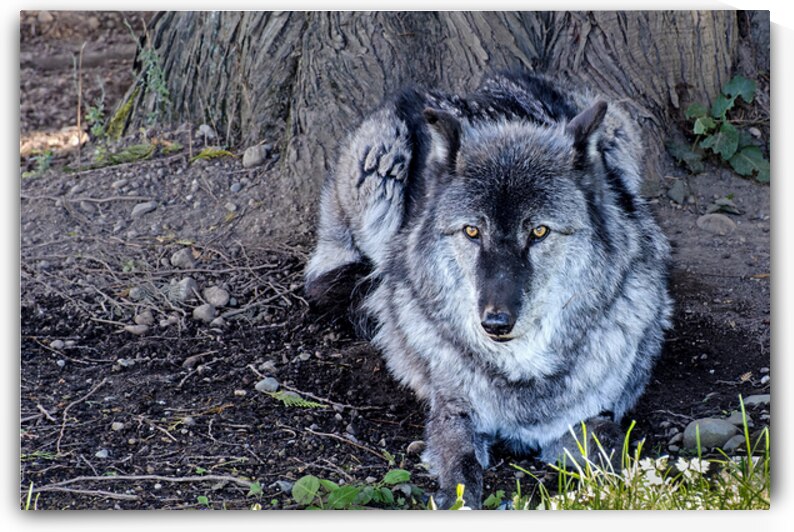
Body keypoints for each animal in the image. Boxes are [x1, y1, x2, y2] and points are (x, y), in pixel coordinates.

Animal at [305, 71, 672, 509]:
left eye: (539, 232)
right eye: (472, 231)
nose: (495, 322)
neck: (520, 371)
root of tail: (470, 89)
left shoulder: (593, 416)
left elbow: (615, 447)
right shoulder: (453, 413)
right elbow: (463, 468)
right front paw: (458, 500)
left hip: (620, 130)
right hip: (379, 163)